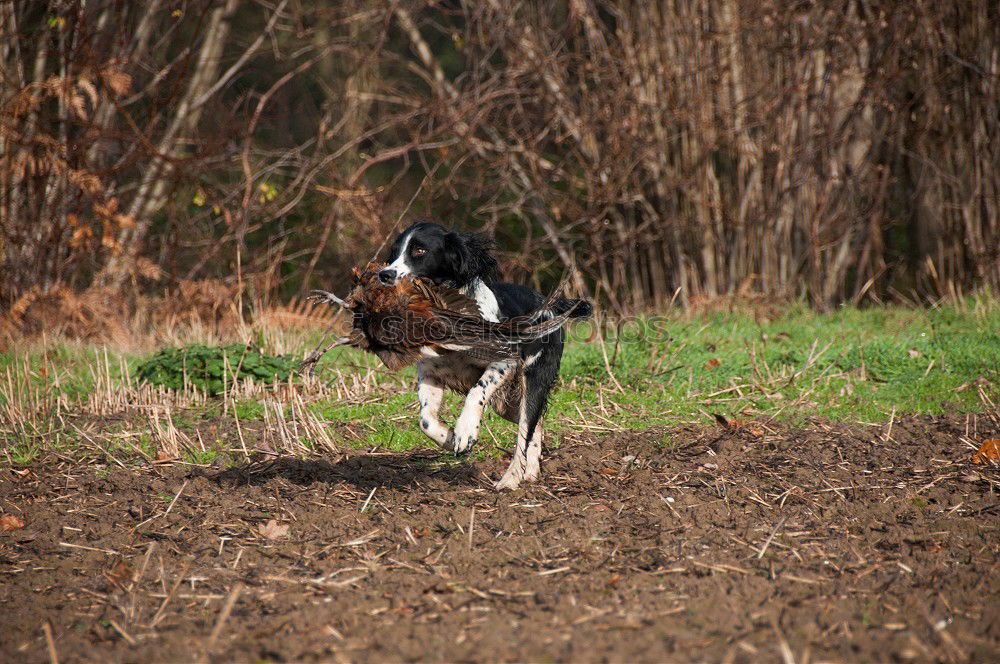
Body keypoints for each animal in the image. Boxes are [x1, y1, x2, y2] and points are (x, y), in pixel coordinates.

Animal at [378, 222, 588, 488]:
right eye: (394, 252)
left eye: (420, 250)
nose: (384, 274)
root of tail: (550, 305)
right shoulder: (429, 372)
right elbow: (425, 419)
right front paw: (449, 438)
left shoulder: (504, 361)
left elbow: (477, 391)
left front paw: (465, 431)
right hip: (506, 404)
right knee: (534, 424)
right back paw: (530, 471)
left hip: (534, 379)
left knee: (526, 427)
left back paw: (511, 480)